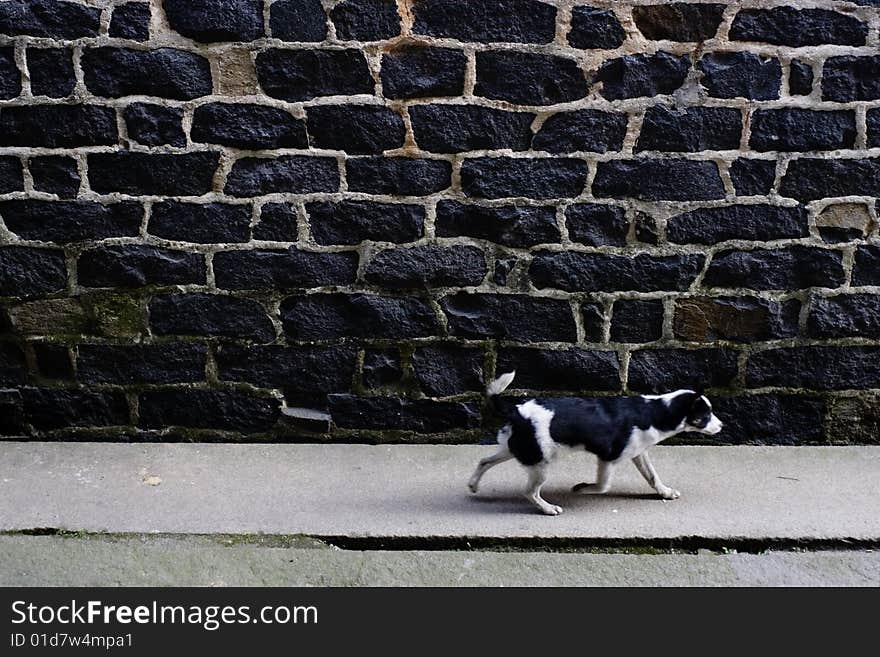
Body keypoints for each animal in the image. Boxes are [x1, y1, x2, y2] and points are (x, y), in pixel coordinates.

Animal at [468, 372, 720, 516]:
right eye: (705, 416)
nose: (722, 425)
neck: (656, 411)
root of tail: (517, 410)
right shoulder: (609, 457)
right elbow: (603, 486)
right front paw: (582, 488)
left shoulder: (638, 453)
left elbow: (652, 476)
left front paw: (665, 492)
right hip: (541, 462)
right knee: (529, 492)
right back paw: (548, 508)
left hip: (516, 449)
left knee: (484, 461)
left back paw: (473, 485)